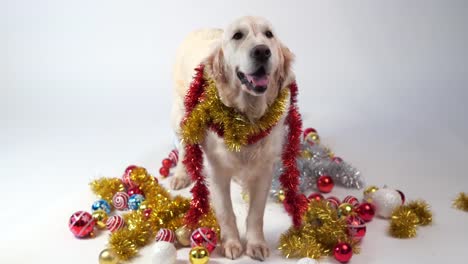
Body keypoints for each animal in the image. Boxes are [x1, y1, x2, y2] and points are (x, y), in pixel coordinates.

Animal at [168, 16, 292, 260]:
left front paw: (256, 244)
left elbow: (256, 213)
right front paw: (232, 243)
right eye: (237, 35)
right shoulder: (217, 171)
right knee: (185, 148)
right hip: (181, 116)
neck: (247, 118)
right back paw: (180, 174)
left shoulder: (265, 169)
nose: (262, 51)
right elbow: (226, 212)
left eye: (269, 34)